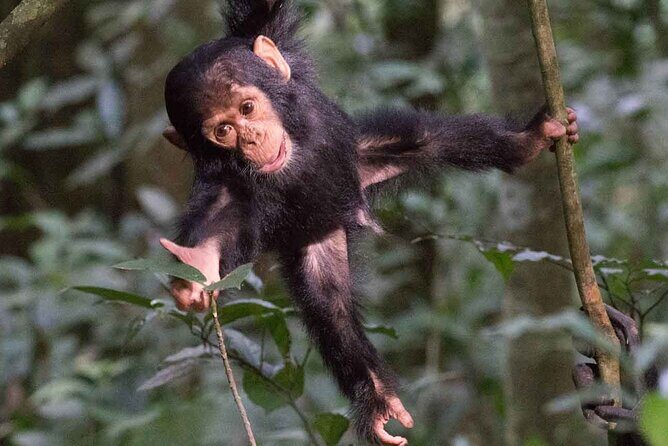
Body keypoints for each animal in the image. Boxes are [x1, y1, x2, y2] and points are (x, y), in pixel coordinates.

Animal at [158, 1, 579, 444]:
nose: (251, 139)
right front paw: (196, 269)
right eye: (223, 131)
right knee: (331, 306)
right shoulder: (228, 188)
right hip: (318, 236)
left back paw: (526, 141)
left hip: (360, 158)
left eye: (247, 109)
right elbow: (218, 224)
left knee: (428, 138)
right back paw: (376, 399)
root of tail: (340, 211)